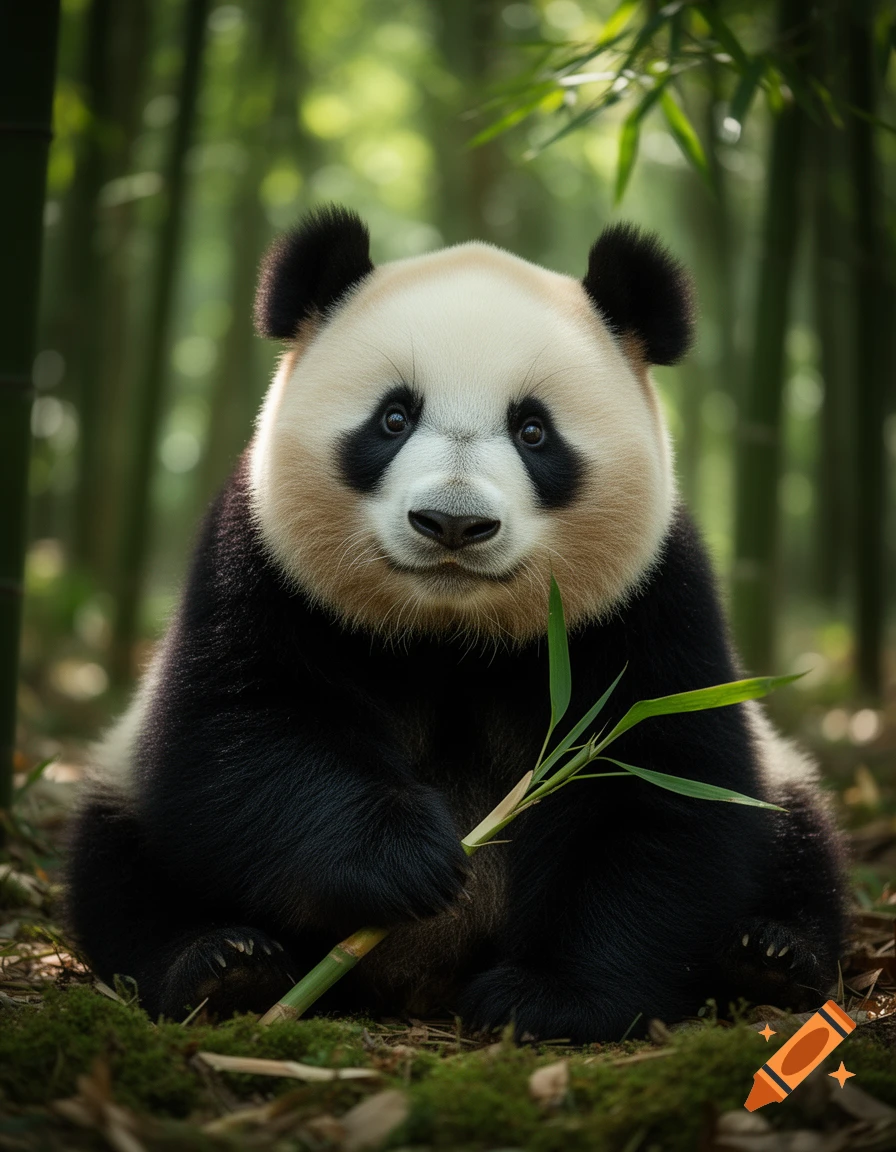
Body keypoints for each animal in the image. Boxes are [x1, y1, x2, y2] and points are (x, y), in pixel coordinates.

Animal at [66, 206, 848, 1041]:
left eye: (534, 431)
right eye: (393, 417)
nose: (451, 522)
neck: (451, 634)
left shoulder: (655, 599)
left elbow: (659, 787)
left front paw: (550, 997)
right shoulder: (256, 563)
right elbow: (241, 730)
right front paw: (408, 858)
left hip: (783, 784)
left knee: (800, 840)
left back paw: (769, 956)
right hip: (122, 787)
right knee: (124, 874)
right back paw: (224, 966)